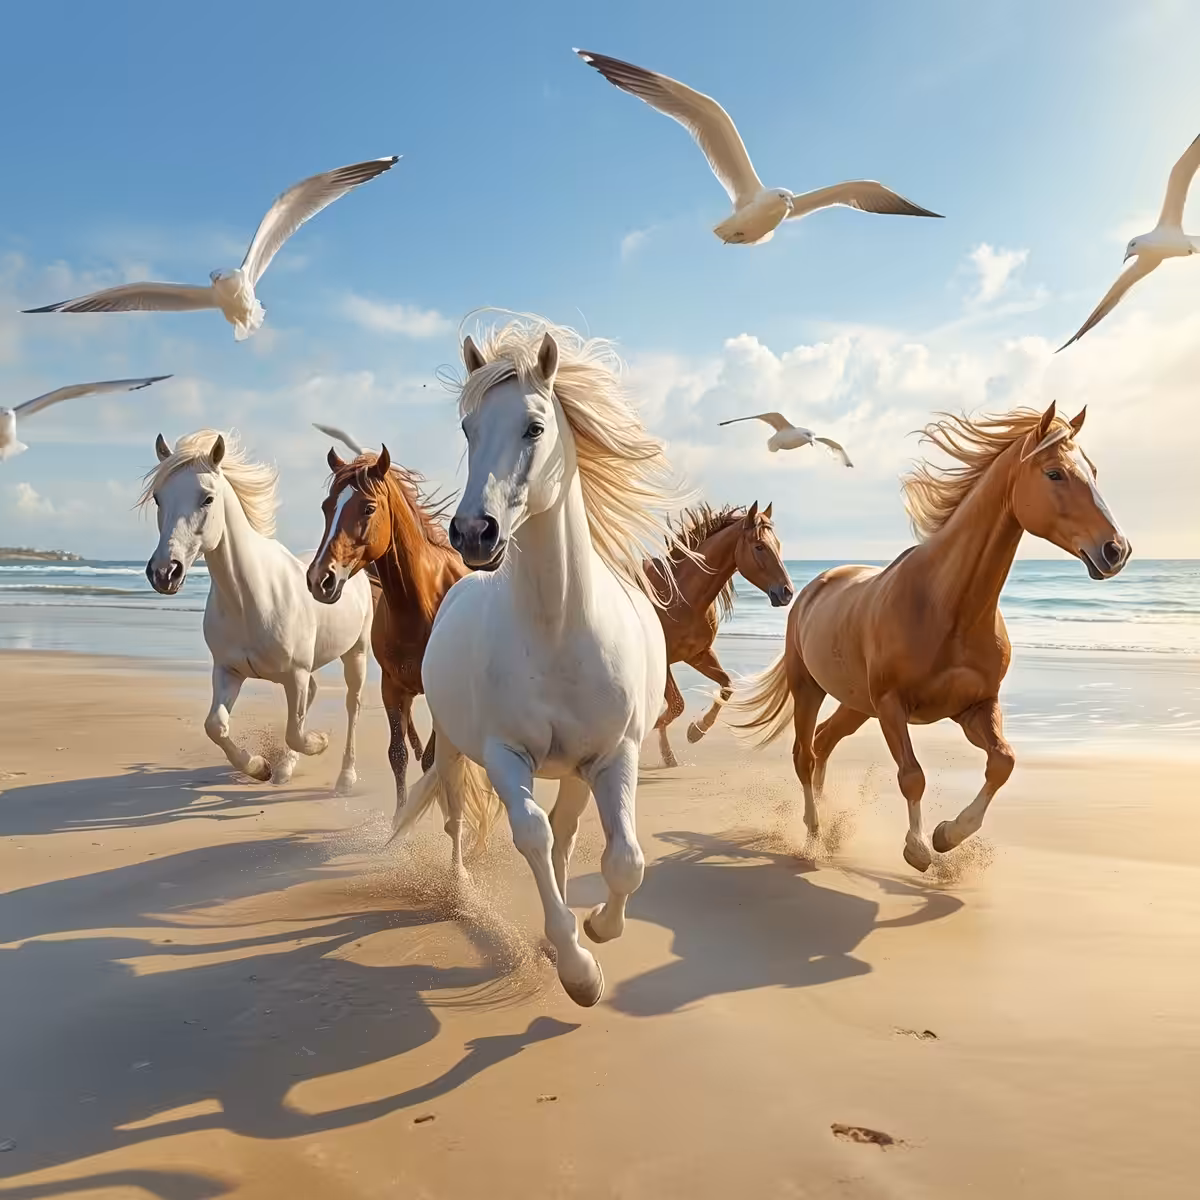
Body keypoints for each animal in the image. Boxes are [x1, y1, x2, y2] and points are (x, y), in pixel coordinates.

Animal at [142, 430, 372, 793]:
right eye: (158, 498)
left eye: (207, 499)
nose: (165, 573)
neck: (250, 598)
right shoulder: (228, 670)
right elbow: (216, 726)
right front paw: (260, 767)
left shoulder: (295, 674)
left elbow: (296, 732)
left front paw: (319, 742)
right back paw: (285, 769)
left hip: (356, 652)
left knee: (353, 705)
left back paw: (345, 778)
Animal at [306, 445, 467, 808]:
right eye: (326, 507)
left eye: (368, 508)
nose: (320, 580)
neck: (421, 606)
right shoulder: (392, 687)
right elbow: (399, 755)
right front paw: (400, 815)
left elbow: (432, 759)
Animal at [392, 316, 684, 1008]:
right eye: (467, 428)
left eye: (534, 426)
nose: (474, 534)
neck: (556, 630)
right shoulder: (505, 754)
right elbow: (531, 835)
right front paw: (578, 969)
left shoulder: (614, 753)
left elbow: (624, 858)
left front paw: (595, 931)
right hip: (454, 748)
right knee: (456, 817)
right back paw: (463, 893)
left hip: (577, 769)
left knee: (570, 830)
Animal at [645, 501, 793, 767]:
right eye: (759, 546)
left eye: (777, 545)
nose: (787, 592)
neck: (679, 595)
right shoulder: (664, 660)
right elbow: (676, 705)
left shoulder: (699, 655)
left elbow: (727, 686)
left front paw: (695, 731)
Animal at [733, 402, 1131, 872]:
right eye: (1055, 473)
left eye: (1093, 471)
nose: (1116, 550)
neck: (948, 607)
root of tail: (812, 587)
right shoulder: (892, 706)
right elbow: (912, 776)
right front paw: (918, 848)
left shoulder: (975, 707)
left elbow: (1003, 762)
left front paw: (947, 835)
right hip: (809, 687)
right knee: (804, 754)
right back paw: (814, 832)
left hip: (856, 703)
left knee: (823, 742)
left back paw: (827, 829)